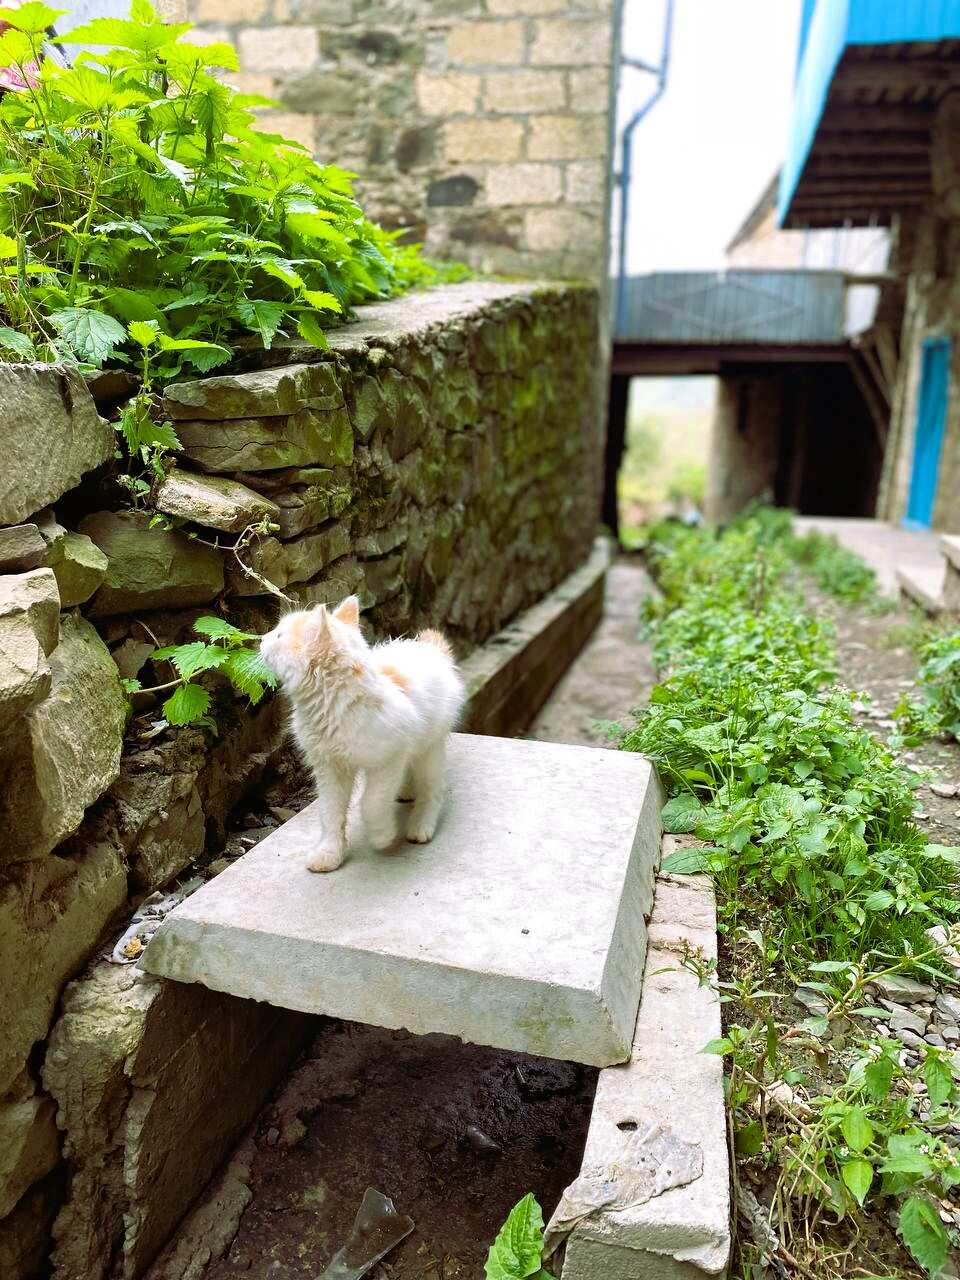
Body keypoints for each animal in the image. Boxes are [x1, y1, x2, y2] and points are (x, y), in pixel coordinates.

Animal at [259, 596, 465, 873]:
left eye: (279, 635)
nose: (261, 638)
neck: (336, 705)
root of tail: (429, 650)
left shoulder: (390, 758)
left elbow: (371, 803)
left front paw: (382, 834)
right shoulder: (329, 768)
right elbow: (330, 812)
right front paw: (329, 852)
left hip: (429, 747)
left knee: (433, 786)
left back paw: (422, 824)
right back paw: (405, 791)